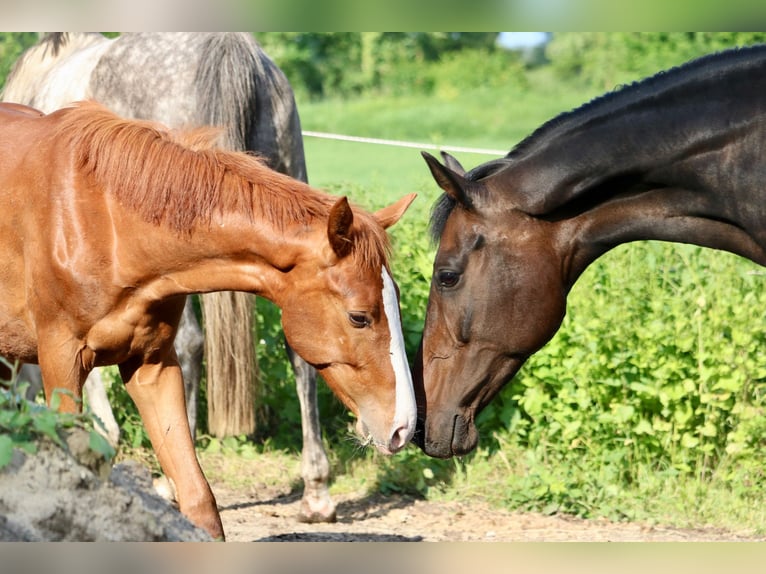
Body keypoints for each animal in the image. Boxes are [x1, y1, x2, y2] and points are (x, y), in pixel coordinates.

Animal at [0, 102, 416, 540]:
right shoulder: (62, 363)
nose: (404, 427)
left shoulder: (152, 366)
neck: (104, 222)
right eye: (359, 317)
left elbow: (198, 497)